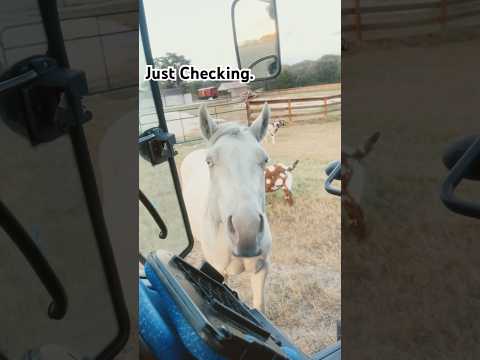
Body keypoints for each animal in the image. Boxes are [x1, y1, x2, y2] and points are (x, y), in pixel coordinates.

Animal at [180, 102, 272, 310]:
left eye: (265, 160)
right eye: (209, 162)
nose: (247, 232)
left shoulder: (261, 269)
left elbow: (259, 306)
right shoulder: (219, 274)